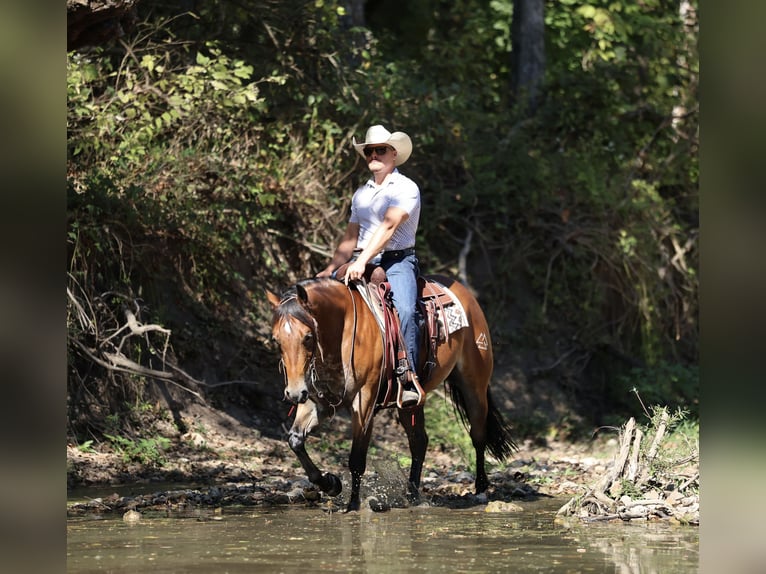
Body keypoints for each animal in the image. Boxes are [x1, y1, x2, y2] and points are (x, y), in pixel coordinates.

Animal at [265, 274, 515, 512]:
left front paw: (354, 505)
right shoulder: (317, 401)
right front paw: (331, 484)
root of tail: (466, 294)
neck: (342, 332)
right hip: (411, 402)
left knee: (478, 434)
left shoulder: (364, 401)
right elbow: (295, 440)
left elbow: (357, 458)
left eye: (307, 337)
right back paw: (413, 495)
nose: (294, 393)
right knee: (419, 441)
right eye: (276, 339)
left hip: (474, 385)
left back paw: (480, 489)